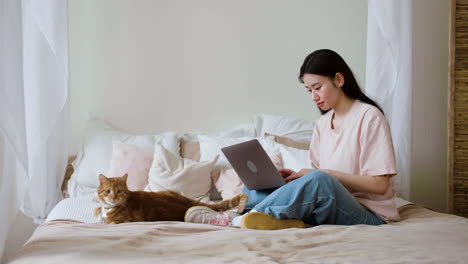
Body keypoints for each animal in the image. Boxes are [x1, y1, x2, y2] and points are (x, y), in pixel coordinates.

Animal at [94, 174, 249, 224]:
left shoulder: (124, 221)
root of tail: (186, 201)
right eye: (108, 191)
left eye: (119, 191)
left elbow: (110, 222)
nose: (113, 197)